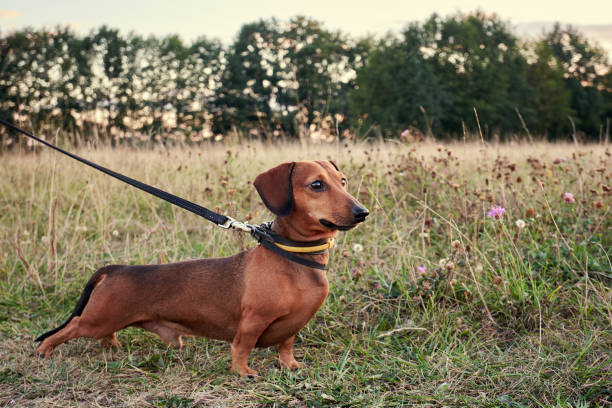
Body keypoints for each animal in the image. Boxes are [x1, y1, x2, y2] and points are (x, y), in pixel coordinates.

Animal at [35, 161, 368, 378]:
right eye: (316, 185)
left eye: (343, 181)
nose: (362, 212)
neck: (293, 258)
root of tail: (118, 268)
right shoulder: (252, 321)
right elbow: (241, 348)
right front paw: (243, 372)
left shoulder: (292, 328)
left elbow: (285, 346)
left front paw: (291, 366)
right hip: (95, 320)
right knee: (70, 328)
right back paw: (44, 352)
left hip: (105, 321)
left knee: (102, 334)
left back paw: (112, 346)